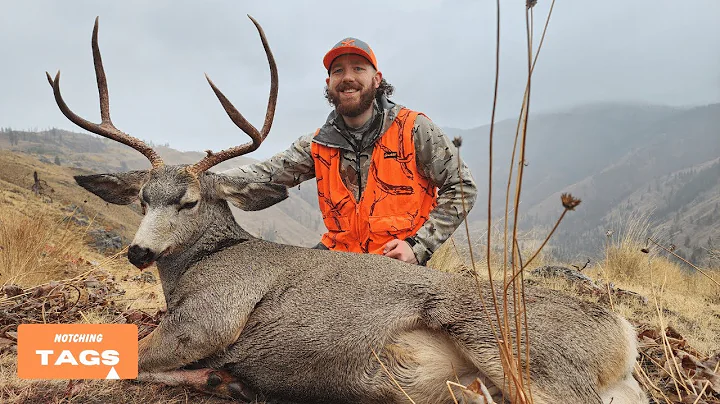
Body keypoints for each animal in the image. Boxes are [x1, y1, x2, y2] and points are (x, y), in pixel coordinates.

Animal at [46, 15, 648, 404]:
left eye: (189, 200)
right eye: (141, 198)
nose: (138, 251)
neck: (203, 263)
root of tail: (623, 335)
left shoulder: (209, 318)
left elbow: (129, 360)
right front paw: (222, 379)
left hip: (517, 349)